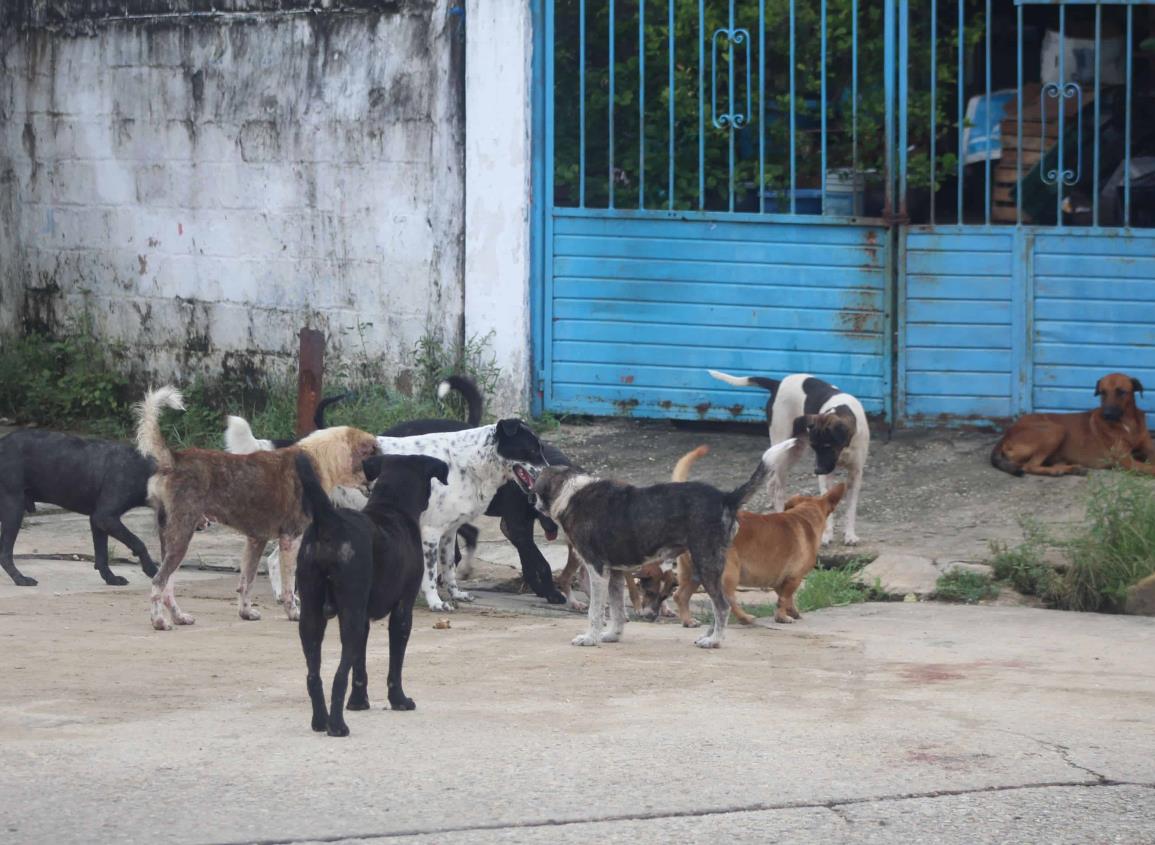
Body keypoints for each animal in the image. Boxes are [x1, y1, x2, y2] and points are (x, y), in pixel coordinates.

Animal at [0, 431, 160, 584]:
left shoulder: (98, 521)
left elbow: (102, 555)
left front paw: (111, 579)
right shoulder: (105, 518)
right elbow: (138, 542)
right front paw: (152, 570)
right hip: (13, 509)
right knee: (5, 553)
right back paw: (21, 579)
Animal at [135, 385, 378, 632]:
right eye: (376, 455)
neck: (319, 459)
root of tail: (174, 458)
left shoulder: (255, 540)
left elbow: (247, 581)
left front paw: (245, 612)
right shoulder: (291, 539)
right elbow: (289, 585)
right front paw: (294, 613)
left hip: (172, 540)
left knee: (167, 587)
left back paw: (178, 617)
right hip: (182, 537)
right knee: (158, 582)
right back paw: (159, 621)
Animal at [293, 452, 445, 734]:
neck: (391, 506)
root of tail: (329, 522)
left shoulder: (363, 619)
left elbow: (360, 666)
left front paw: (358, 702)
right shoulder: (402, 609)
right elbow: (394, 664)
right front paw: (399, 701)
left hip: (310, 615)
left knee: (314, 675)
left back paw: (320, 721)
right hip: (349, 617)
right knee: (339, 674)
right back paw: (337, 726)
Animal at [665, 445, 845, 623]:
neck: (805, 516)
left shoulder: (782, 582)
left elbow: (787, 599)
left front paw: (793, 612)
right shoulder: (794, 578)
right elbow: (784, 599)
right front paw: (782, 617)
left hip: (693, 574)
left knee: (680, 596)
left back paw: (688, 621)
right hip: (728, 574)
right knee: (728, 600)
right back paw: (745, 618)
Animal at [988, 374, 1150, 477]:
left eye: (1121, 392)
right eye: (1102, 393)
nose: (1107, 414)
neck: (1128, 421)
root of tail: (1007, 433)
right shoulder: (1127, 462)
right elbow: (1151, 468)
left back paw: (1071, 469)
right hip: (1056, 429)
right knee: (1029, 465)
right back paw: (1057, 471)